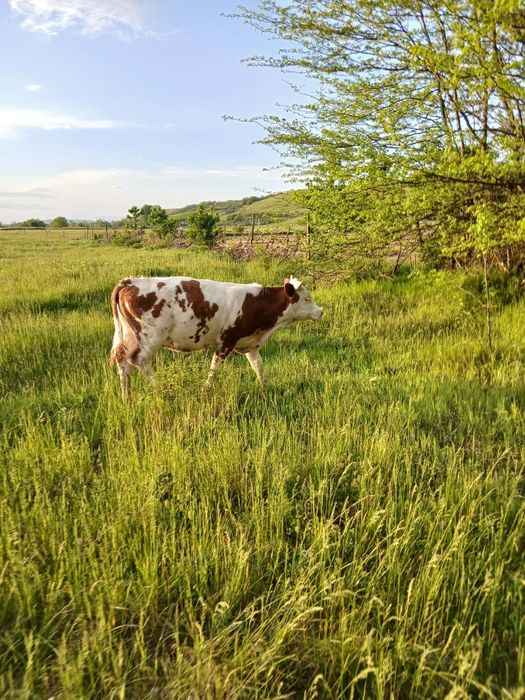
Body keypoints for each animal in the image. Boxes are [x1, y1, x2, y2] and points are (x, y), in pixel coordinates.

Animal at [110, 275, 323, 398]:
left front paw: (265, 388)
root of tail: (130, 282)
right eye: (307, 298)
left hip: (128, 334)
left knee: (122, 361)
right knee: (138, 361)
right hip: (149, 336)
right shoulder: (226, 341)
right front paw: (206, 390)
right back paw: (160, 390)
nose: (320, 311)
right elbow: (215, 369)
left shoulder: (250, 344)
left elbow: (258, 367)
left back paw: (126, 397)